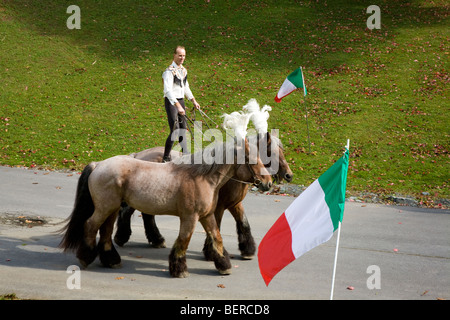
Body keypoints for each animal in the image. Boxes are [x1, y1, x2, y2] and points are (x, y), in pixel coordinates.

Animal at [59, 140, 270, 278]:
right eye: (252, 159)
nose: (268, 182)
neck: (200, 177)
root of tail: (98, 165)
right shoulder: (190, 218)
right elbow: (183, 241)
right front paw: (179, 269)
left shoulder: (207, 215)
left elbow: (216, 237)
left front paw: (223, 265)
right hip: (105, 208)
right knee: (90, 226)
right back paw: (86, 257)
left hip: (111, 209)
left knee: (106, 231)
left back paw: (111, 260)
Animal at [114, 132, 294, 260]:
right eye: (270, 152)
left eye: (282, 151)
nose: (288, 175)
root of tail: (138, 155)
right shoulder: (218, 207)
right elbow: (217, 227)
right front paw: (212, 252)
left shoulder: (234, 204)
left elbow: (244, 223)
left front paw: (247, 249)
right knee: (128, 211)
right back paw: (122, 236)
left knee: (146, 214)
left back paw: (155, 238)